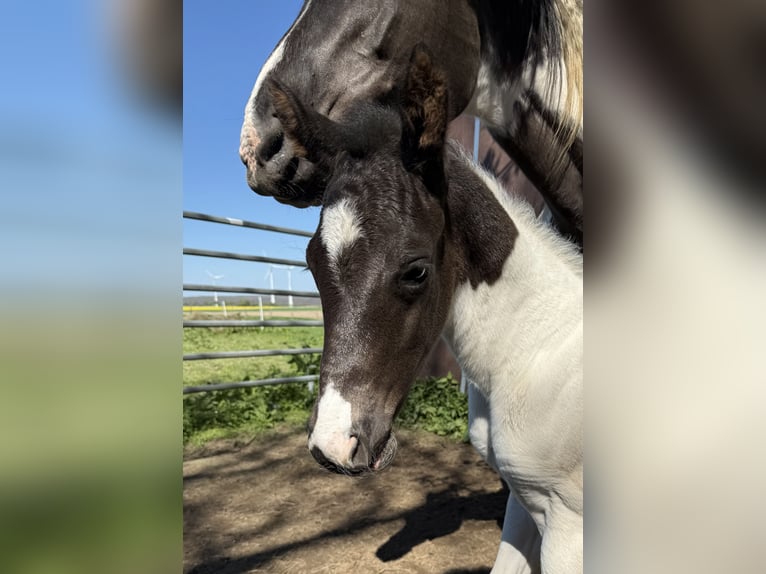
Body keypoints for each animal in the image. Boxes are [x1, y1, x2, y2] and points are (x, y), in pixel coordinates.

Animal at [267, 46, 583, 573]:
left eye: (415, 270)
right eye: (312, 261)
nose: (333, 444)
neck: (539, 348)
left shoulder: (570, 526)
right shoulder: (526, 504)